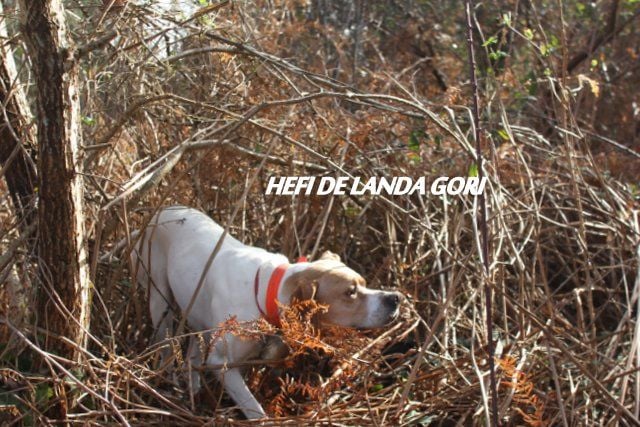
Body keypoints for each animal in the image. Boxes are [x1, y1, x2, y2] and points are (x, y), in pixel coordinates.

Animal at [131, 206, 400, 420]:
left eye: (363, 283)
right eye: (350, 292)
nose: (395, 298)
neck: (267, 293)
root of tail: (159, 212)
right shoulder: (222, 364)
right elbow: (253, 408)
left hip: (197, 315)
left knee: (192, 355)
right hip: (160, 302)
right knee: (166, 346)